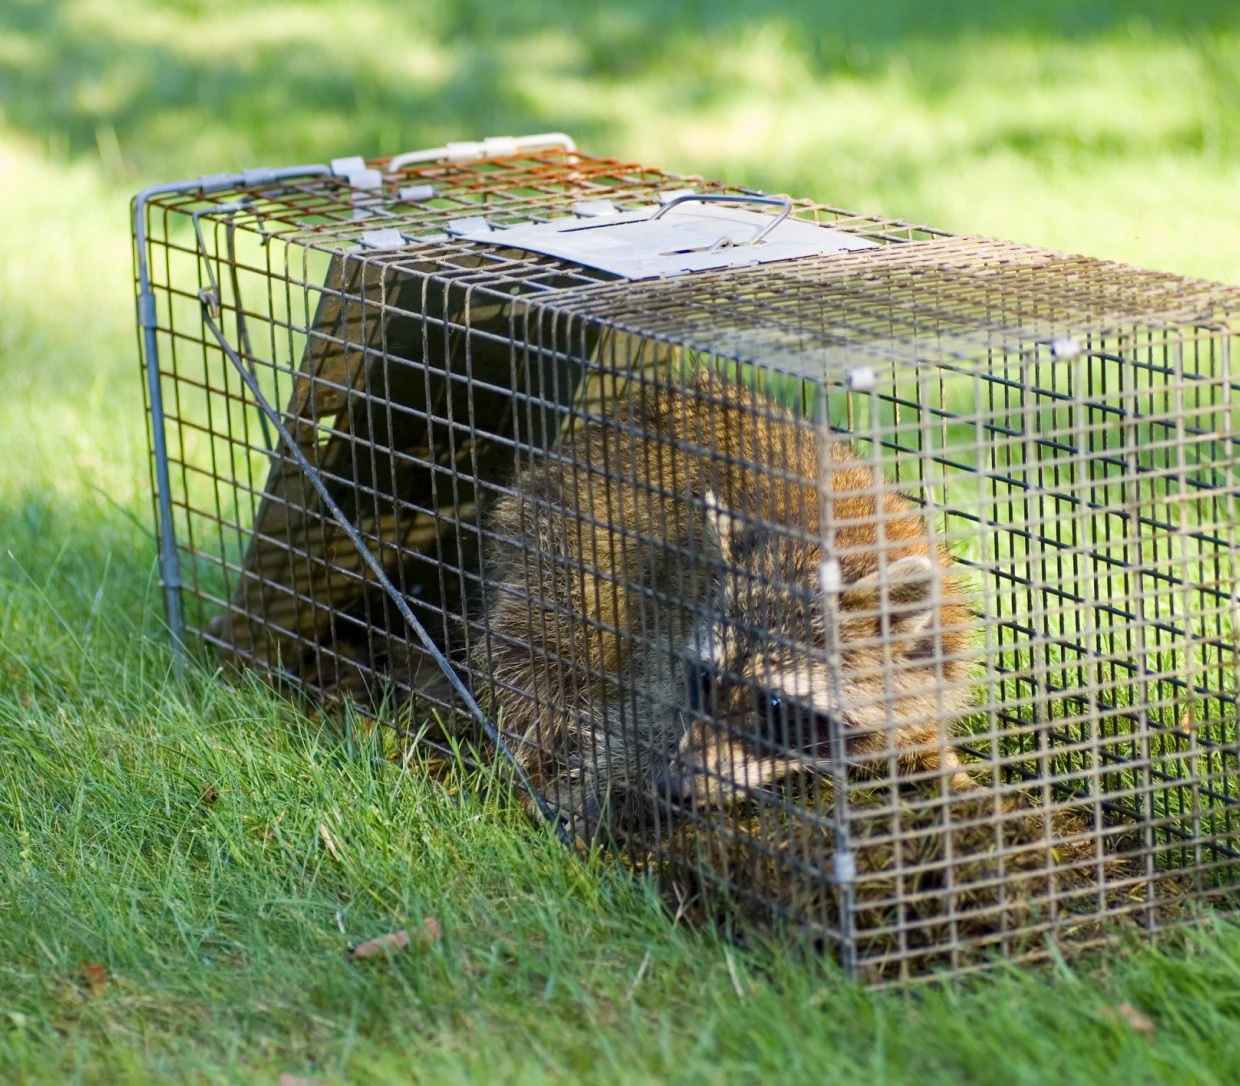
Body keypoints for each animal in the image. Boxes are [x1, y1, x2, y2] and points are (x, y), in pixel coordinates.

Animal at [472, 370, 974, 839]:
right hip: (556, 560)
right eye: (705, 679)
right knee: (535, 663)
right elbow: (639, 724)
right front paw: (617, 790)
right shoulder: (666, 629)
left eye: (773, 703)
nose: (676, 784)